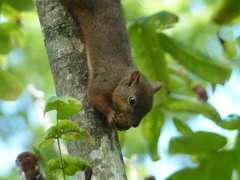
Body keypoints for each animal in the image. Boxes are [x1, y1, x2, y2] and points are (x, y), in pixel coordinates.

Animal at [59, 0, 162, 130]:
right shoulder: (105, 81)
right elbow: (94, 95)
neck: (119, 79)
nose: (134, 124)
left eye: (149, 108)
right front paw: (110, 114)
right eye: (132, 100)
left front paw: (124, 125)